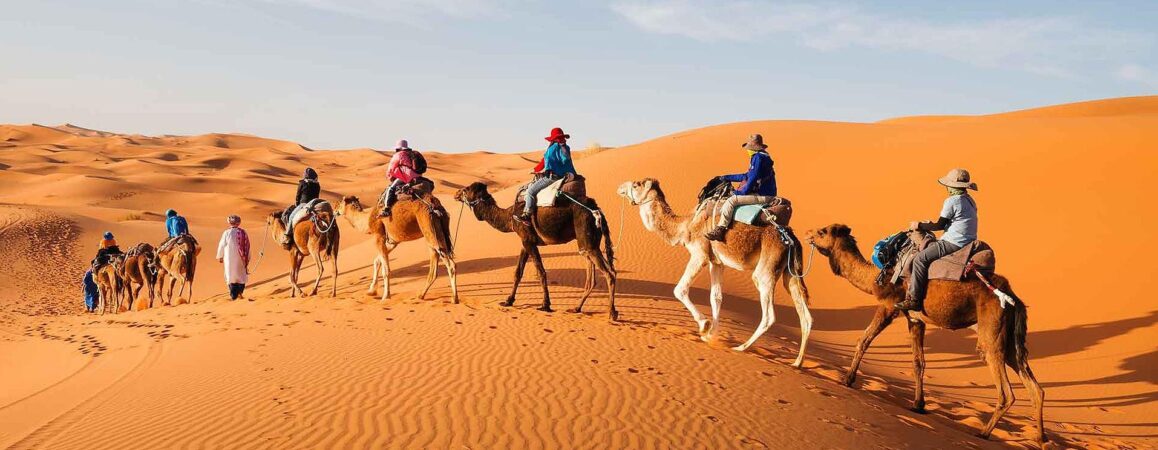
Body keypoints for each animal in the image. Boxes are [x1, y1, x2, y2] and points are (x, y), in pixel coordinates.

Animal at [451, 180, 616, 316]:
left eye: (466, 189)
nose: (456, 194)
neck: (510, 216)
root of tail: (597, 210)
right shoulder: (525, 241)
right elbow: (518, 272)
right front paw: (508, 301)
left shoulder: (528, 241)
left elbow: (541, 272)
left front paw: (545, 305)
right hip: (588, 243)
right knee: (592, 277)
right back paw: (576, 308)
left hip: (586, 238)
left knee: (609, 273)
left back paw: (612, 313)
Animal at [616, 176, 815, 365]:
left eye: (637, 184)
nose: (620, 187)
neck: (686, 225)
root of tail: (791, 239)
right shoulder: (716, 262)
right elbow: (716, 297)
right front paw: (711, 335)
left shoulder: (700, 255)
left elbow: (680, 290)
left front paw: (704, 326)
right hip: (790, 273)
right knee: (805, 316)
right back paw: (797, 362)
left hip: (766, 269)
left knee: (769, 315)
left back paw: (741, 347)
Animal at [801, 222, 1046, 444]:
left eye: (822, 231)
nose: (807, 233)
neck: (876, 277)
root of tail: (1013, 298)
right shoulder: (915, 319)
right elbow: (918, 362)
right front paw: (918, 405)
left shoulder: (889, 306)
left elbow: (864, 339)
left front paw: (847, 379)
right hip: (1009, 339)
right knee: (1034, 387)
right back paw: (1040, 438)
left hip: (991, 331)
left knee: (1005, 389)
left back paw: (984, 433)